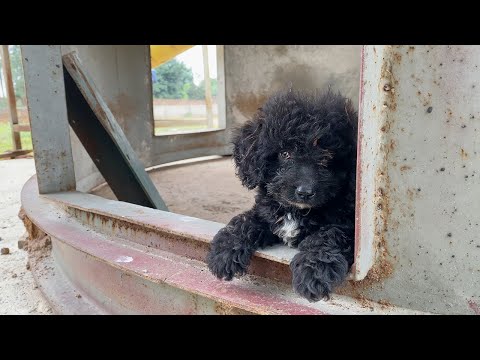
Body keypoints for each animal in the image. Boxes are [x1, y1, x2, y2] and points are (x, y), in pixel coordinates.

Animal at [205, 89, 356, 300]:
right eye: (285, 153)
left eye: (327, 157)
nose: (305, 192)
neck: (296, 211)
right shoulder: (266, 212)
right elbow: (245, 220)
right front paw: (224, 251)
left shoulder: (348, 225)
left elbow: (329, 234)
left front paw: (314, 271)